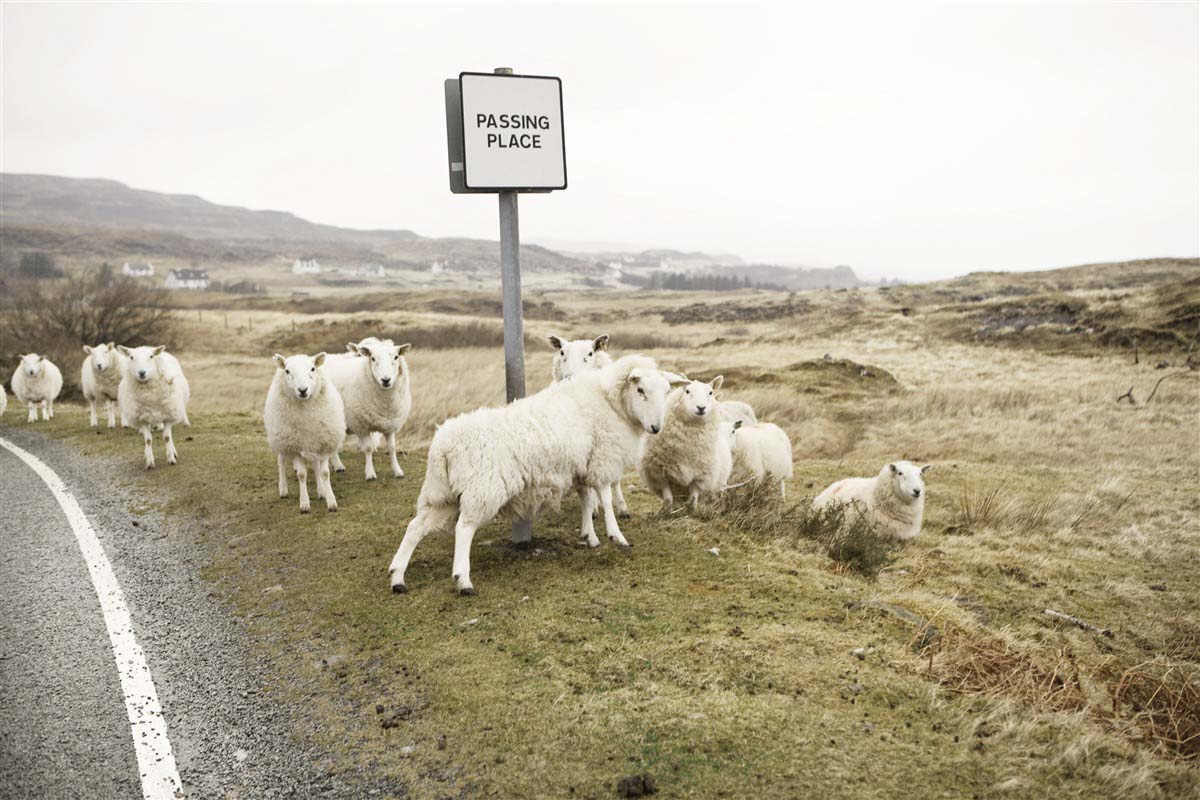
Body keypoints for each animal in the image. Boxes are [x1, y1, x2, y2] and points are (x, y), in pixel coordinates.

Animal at [265, 352, 350, 515]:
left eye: (312, 369)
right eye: (287, 371)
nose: (302, 390)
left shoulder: (323, 443)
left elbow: (324, 472)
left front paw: (331, 501)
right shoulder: (294, 447)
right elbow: (301, 474)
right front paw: (304, 504)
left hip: (313, 442)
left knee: (316, 466)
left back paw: (321, 491)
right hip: (281, 440)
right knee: (281, 461)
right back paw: (283, 489)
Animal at [326, 338, 415, 482]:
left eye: (396, 357)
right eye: (372, 358)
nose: (386, 380)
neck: (385, 404)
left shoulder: (390, 424)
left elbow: (392, 448)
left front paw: (397, 471)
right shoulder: (361, 425)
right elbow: (368, 449)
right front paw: (370, 473)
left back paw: (337, 465)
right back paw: (337, 465)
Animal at [386, 355, 686, 594]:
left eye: (666, 391)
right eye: (640, 390)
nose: (656, 428)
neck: (610, 403)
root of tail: (443, 446)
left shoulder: (582, 465)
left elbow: (587, 499)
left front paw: (590, 536)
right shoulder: (603, 458)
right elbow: (605, 498)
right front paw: (616, 536)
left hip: (442, 494)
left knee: (415, 527)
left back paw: (397, 576)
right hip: (482, 489)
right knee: (463, 528)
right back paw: (463, 580)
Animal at [638, 376, 729, 513]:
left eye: (710, 393)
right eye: (687, 391)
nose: (701, 407)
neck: (686, 447)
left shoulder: (700, 476)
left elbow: (693, 498)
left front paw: (691, 511)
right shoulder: (659, 473)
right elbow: (668, 498)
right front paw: (667, 512)